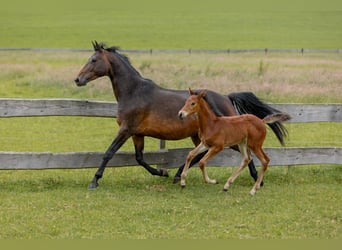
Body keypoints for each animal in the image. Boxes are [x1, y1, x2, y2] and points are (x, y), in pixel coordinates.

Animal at [75, 41, 288, 189]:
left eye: (93, 60)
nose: (77, 79)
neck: (134, 92)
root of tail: (226, 97)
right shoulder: (137, 133)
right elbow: (140, 158)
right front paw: (162, 172)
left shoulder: (126, 129)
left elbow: (109, 153)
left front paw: (94, 181)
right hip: (200, 136)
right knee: (200, 155)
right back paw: (178, 175)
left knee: (245, 154)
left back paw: (257, 180)